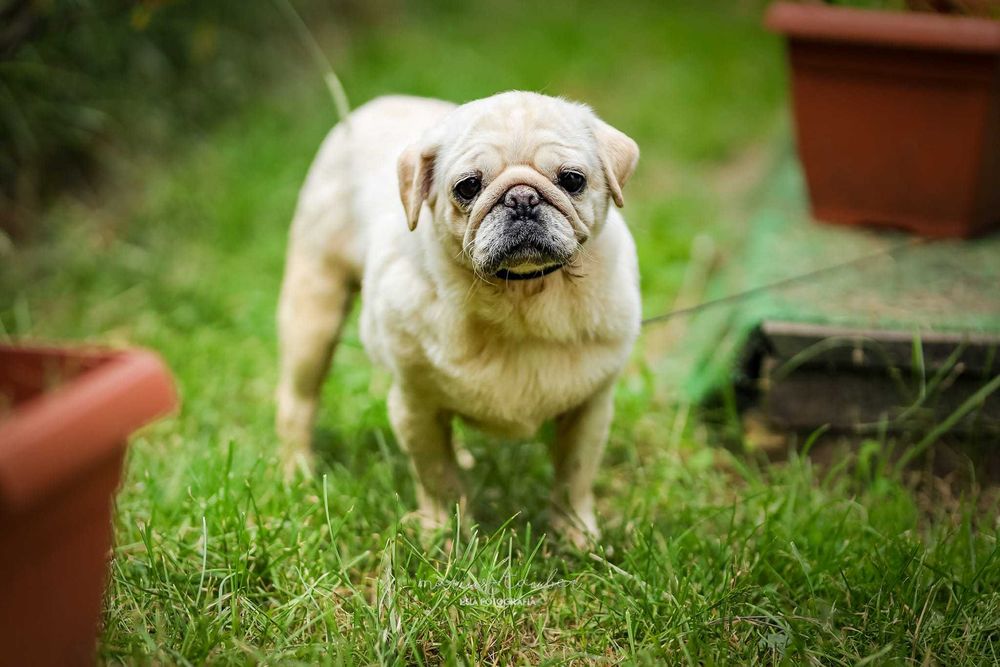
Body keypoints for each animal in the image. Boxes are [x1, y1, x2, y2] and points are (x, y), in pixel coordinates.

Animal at [278, 91, 640, 544]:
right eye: (468, 187)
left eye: (572, 180)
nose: (522, 199)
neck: (520, 296)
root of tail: (375, 105)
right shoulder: (415, 406)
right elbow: (437, 475)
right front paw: (443, 534)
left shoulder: (590, 408)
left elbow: (575, 477)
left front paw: (575, 536)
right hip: (314, 314)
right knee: (297, 403)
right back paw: (298, 473)